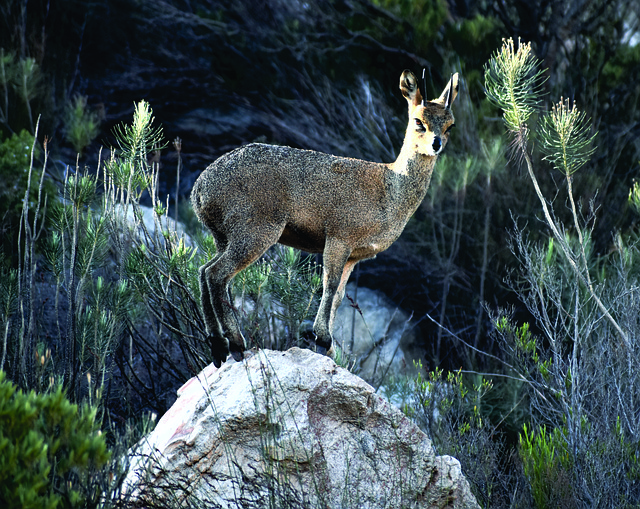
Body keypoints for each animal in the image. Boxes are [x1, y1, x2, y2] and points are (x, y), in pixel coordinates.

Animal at [190, 69, 460, 368]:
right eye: (418, 121)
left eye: (450, 125)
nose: (436, 144)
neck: (389, 189)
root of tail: (200, 190)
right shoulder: (339, 237)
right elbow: (328, 286)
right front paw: (322, 338)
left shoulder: (355, 256)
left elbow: (340, 295)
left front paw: (330, 348)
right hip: (255, 231)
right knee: (216, 274)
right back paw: (236, 344)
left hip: (225, 237)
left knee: (203, 271)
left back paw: (218, 346)